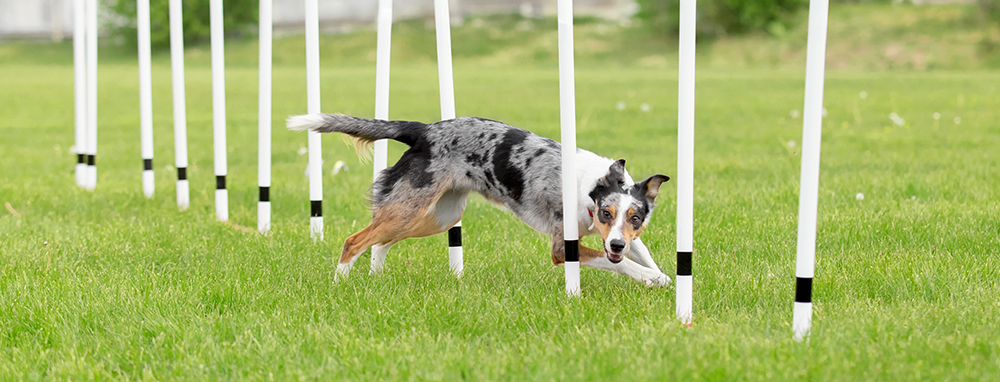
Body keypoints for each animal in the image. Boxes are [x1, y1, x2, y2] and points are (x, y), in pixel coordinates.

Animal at [286, 115, 672, 288]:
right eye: (606, 212)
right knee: (355, 240)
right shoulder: (563, 247)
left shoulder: (622, 239)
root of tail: (423, 130)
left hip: (437, 216)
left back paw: (375, 277)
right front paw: (651, 279)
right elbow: (622, 264)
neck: (591, 187)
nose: (617, 243)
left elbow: (640, 254)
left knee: (380, 241)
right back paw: (340, 282)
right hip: (410, 209)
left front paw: (662, 277)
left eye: (635, 218)